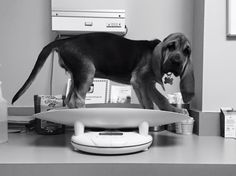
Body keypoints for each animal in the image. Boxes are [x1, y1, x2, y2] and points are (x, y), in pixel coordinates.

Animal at [12, 32, 195, 114]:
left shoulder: (147, 84)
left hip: (76, 75)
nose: (177, 62)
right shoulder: (140, 81)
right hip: (87, 71)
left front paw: (175, 110)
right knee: (77, 100)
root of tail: (64, 41)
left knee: (71, 100)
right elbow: (149, 103)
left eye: (187, 51)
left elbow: (160, 99)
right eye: (170, 46)